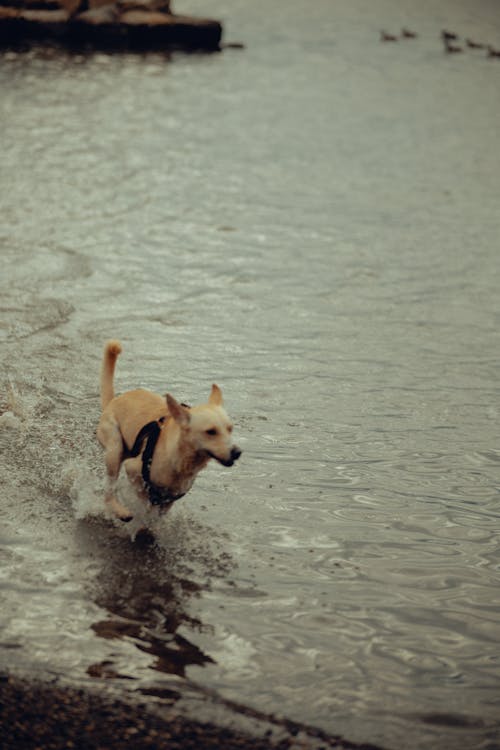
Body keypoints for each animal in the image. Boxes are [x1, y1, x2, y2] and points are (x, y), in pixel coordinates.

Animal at [96, 340, 241, 524]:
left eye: (230, 429)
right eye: (211, 431)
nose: (237, 452)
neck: (181, 458)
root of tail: (113, 401)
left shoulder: (171, 496)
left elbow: (159, 513)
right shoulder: (133, 470)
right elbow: (144, 499)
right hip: (114, 448)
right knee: (108, 489)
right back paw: (120, 511)